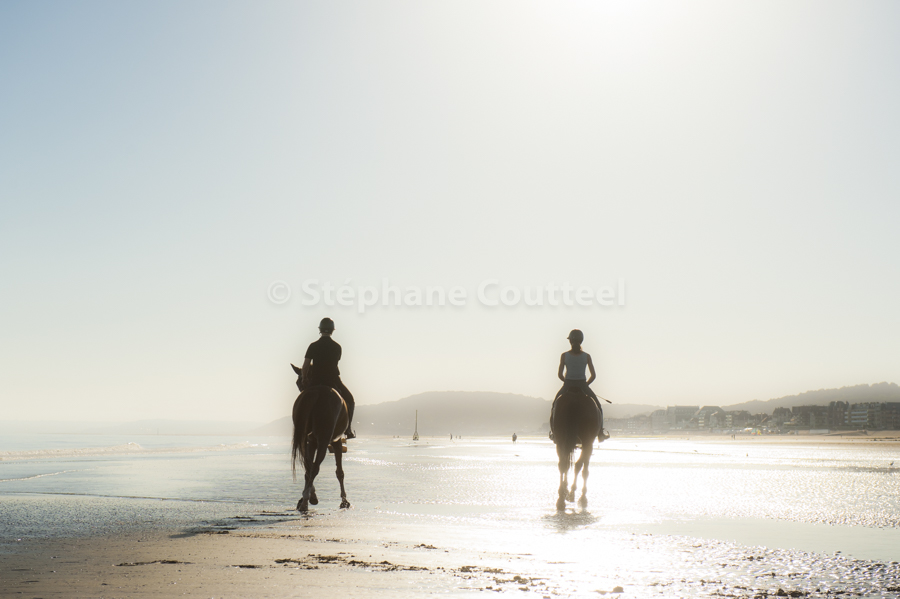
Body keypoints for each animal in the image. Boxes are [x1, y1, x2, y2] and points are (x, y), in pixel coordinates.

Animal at [290, 364, 351, 512]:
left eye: (298, 382)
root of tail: (315, 392)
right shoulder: (336, 441)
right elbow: (339, 472)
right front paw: (344, 501)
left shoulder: (310, 442)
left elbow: (308, 468)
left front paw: (308, 496)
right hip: (324, 441)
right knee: (316, 467)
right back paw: (305, 502)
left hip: (306, 440)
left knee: (310, 467)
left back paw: (306, 499)